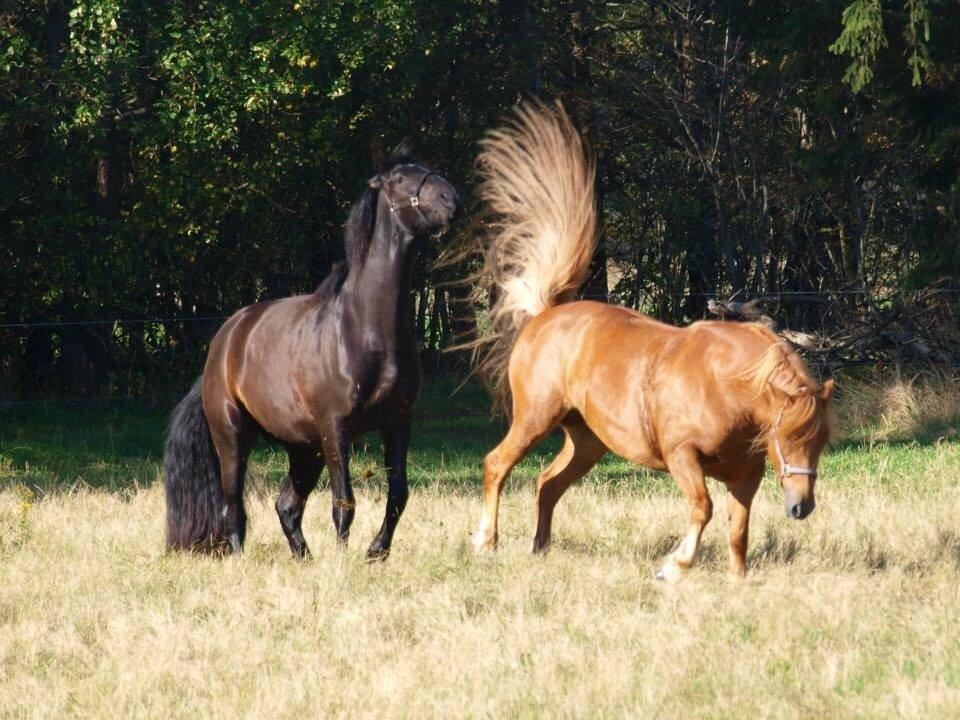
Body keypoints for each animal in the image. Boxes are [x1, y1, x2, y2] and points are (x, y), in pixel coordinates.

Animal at [165, 149, 462, 560]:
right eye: (400, 179)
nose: (453, 201)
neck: (367, 328)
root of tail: (224, 343)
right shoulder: (335, 429)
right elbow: (344, 502)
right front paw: (343, 561)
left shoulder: (398, 423)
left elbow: (398, 495)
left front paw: (376, 552)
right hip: (234, 435)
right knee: (232, 503)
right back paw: (241, 556)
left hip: (304, 449)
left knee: (286, 505)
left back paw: (303, 557)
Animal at [464, 104, 832, 580]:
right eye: (787, 435)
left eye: (822, 441)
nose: (801, 507)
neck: (725, 387)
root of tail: (546, 314)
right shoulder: (682, 456)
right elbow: (702, 508)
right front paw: (675, 565)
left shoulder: (746, 475)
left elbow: (738, 530)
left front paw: (737, 580)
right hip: (534, 419)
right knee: (497, 465)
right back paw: (486, 541)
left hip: (587, 441)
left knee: (548, 483)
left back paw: (539, 547)